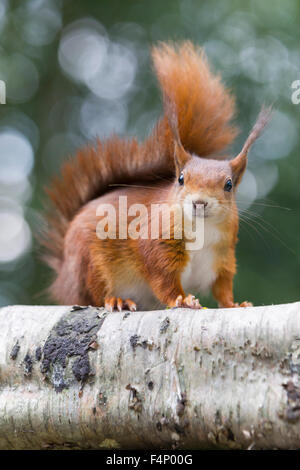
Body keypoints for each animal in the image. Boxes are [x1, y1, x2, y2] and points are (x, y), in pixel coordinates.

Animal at [42, 41, 272, 312]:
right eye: (181, 179)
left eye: (229, 185)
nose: (199, 202)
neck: (203, 229)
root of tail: (63, 279)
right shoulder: (156, 241)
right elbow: (163, 277)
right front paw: (182, 299)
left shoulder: (223, 256)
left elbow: (222, 286)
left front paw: (234, 304)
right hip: (88, 262)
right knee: (94, 293)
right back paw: (116, 299)